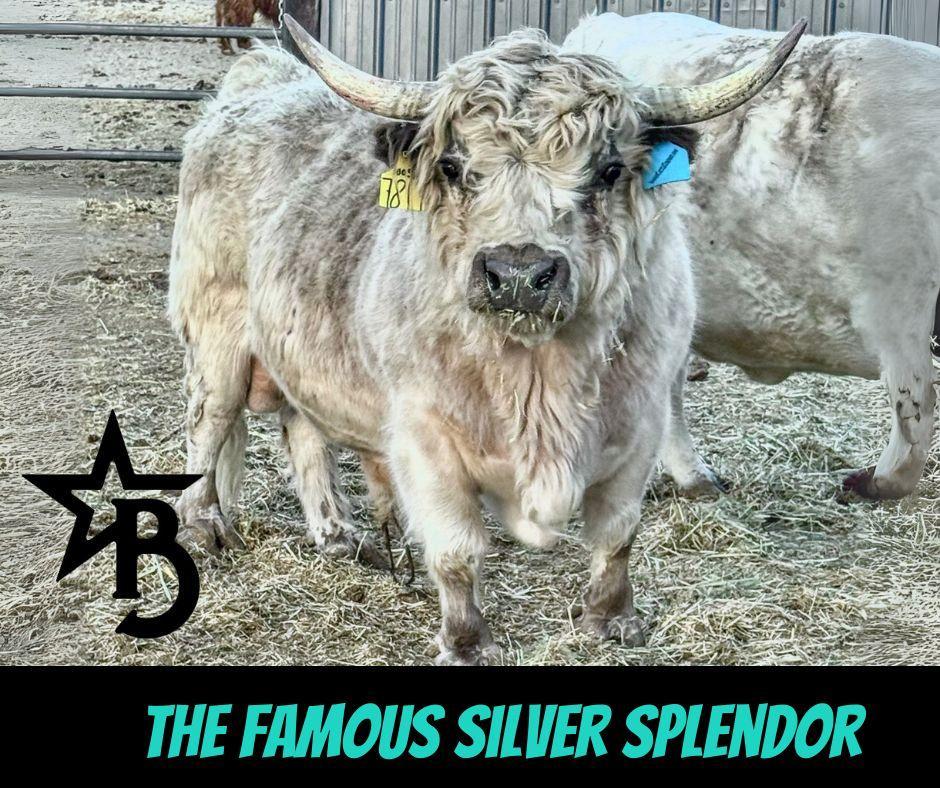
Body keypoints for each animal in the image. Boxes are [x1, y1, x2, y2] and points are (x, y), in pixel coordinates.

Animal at [169, 15, 803, 664]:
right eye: (452, 166)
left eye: (608, 170)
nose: (518, 274)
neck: (538, 385)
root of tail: (258, 86)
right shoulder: (424, 442)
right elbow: (455, 550)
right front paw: (467, 642)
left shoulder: (643, 426)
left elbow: (618, 531)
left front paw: (612, 618)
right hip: (214, 335)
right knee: (209, 426)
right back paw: (206, 524)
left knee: (303, 431)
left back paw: (339, 535)